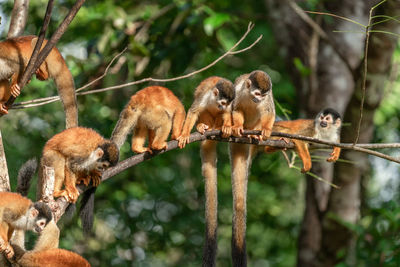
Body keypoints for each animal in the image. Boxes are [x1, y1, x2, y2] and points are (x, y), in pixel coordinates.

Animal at [175, 76, 234, 266]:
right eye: (222, 102)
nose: (222, 107)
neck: (215, 100)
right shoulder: (204, 96)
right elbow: (193, 112)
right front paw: (184, 134)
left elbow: (229, 113)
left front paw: (227, 125)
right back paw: (202, 127)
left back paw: (219, 127)